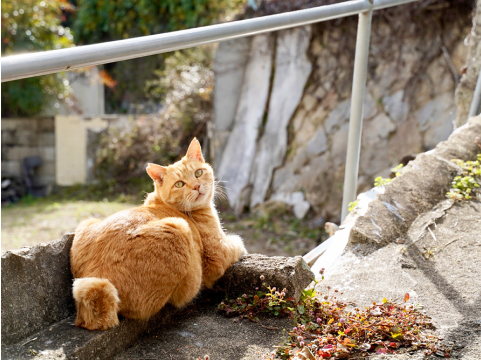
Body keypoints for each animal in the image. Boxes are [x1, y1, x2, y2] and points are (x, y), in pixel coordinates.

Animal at [70, 138, 248, 330]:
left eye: (198, 173)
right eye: (179, 184)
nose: (197, 186)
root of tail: (96, 273)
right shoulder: (218, 254)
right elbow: (237, 242)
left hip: (87, 223)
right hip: (179, 228)